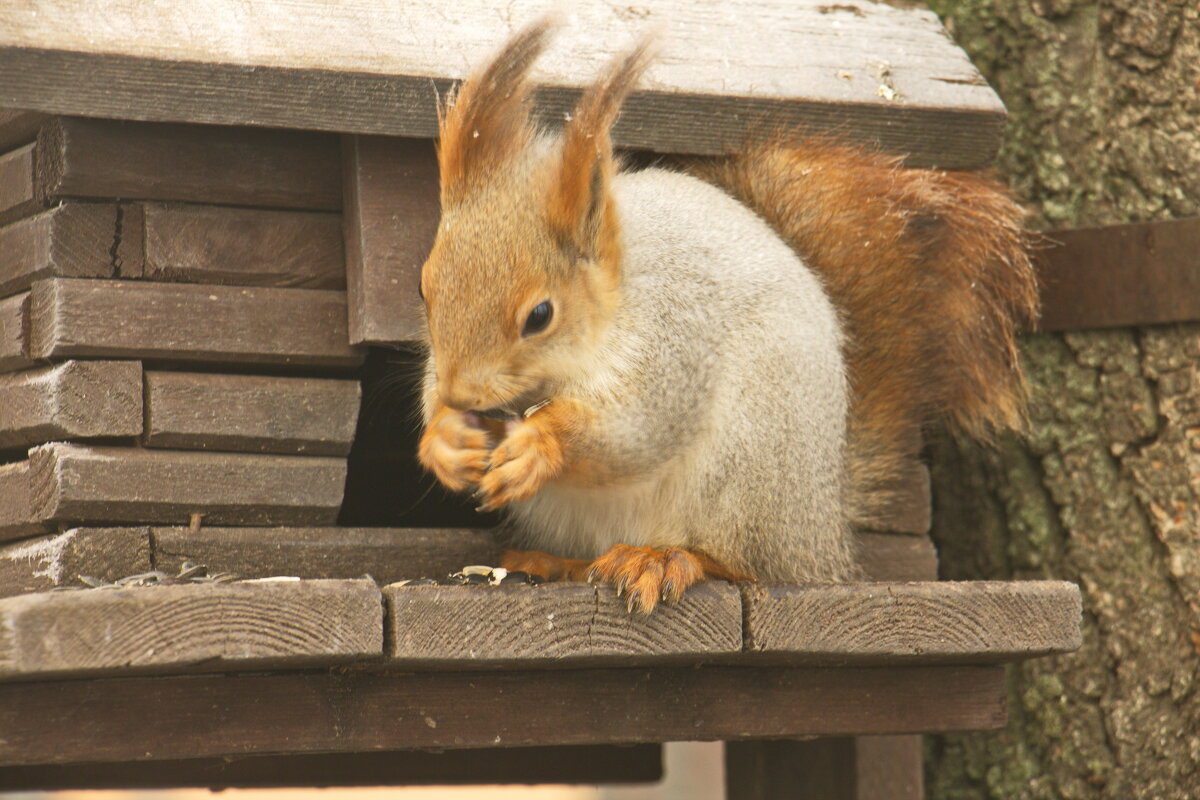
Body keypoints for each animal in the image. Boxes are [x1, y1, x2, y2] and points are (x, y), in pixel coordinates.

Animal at [417, 20, 1036, 614]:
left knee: (741, 563)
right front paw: (445, 438)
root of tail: (823, 532)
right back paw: (550, 562)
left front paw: (540, 442)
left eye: (540, 315)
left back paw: (661, 558)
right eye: (425, 290)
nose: (462, 394)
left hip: (750, 466)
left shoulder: (675, 344)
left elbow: (634, 431)